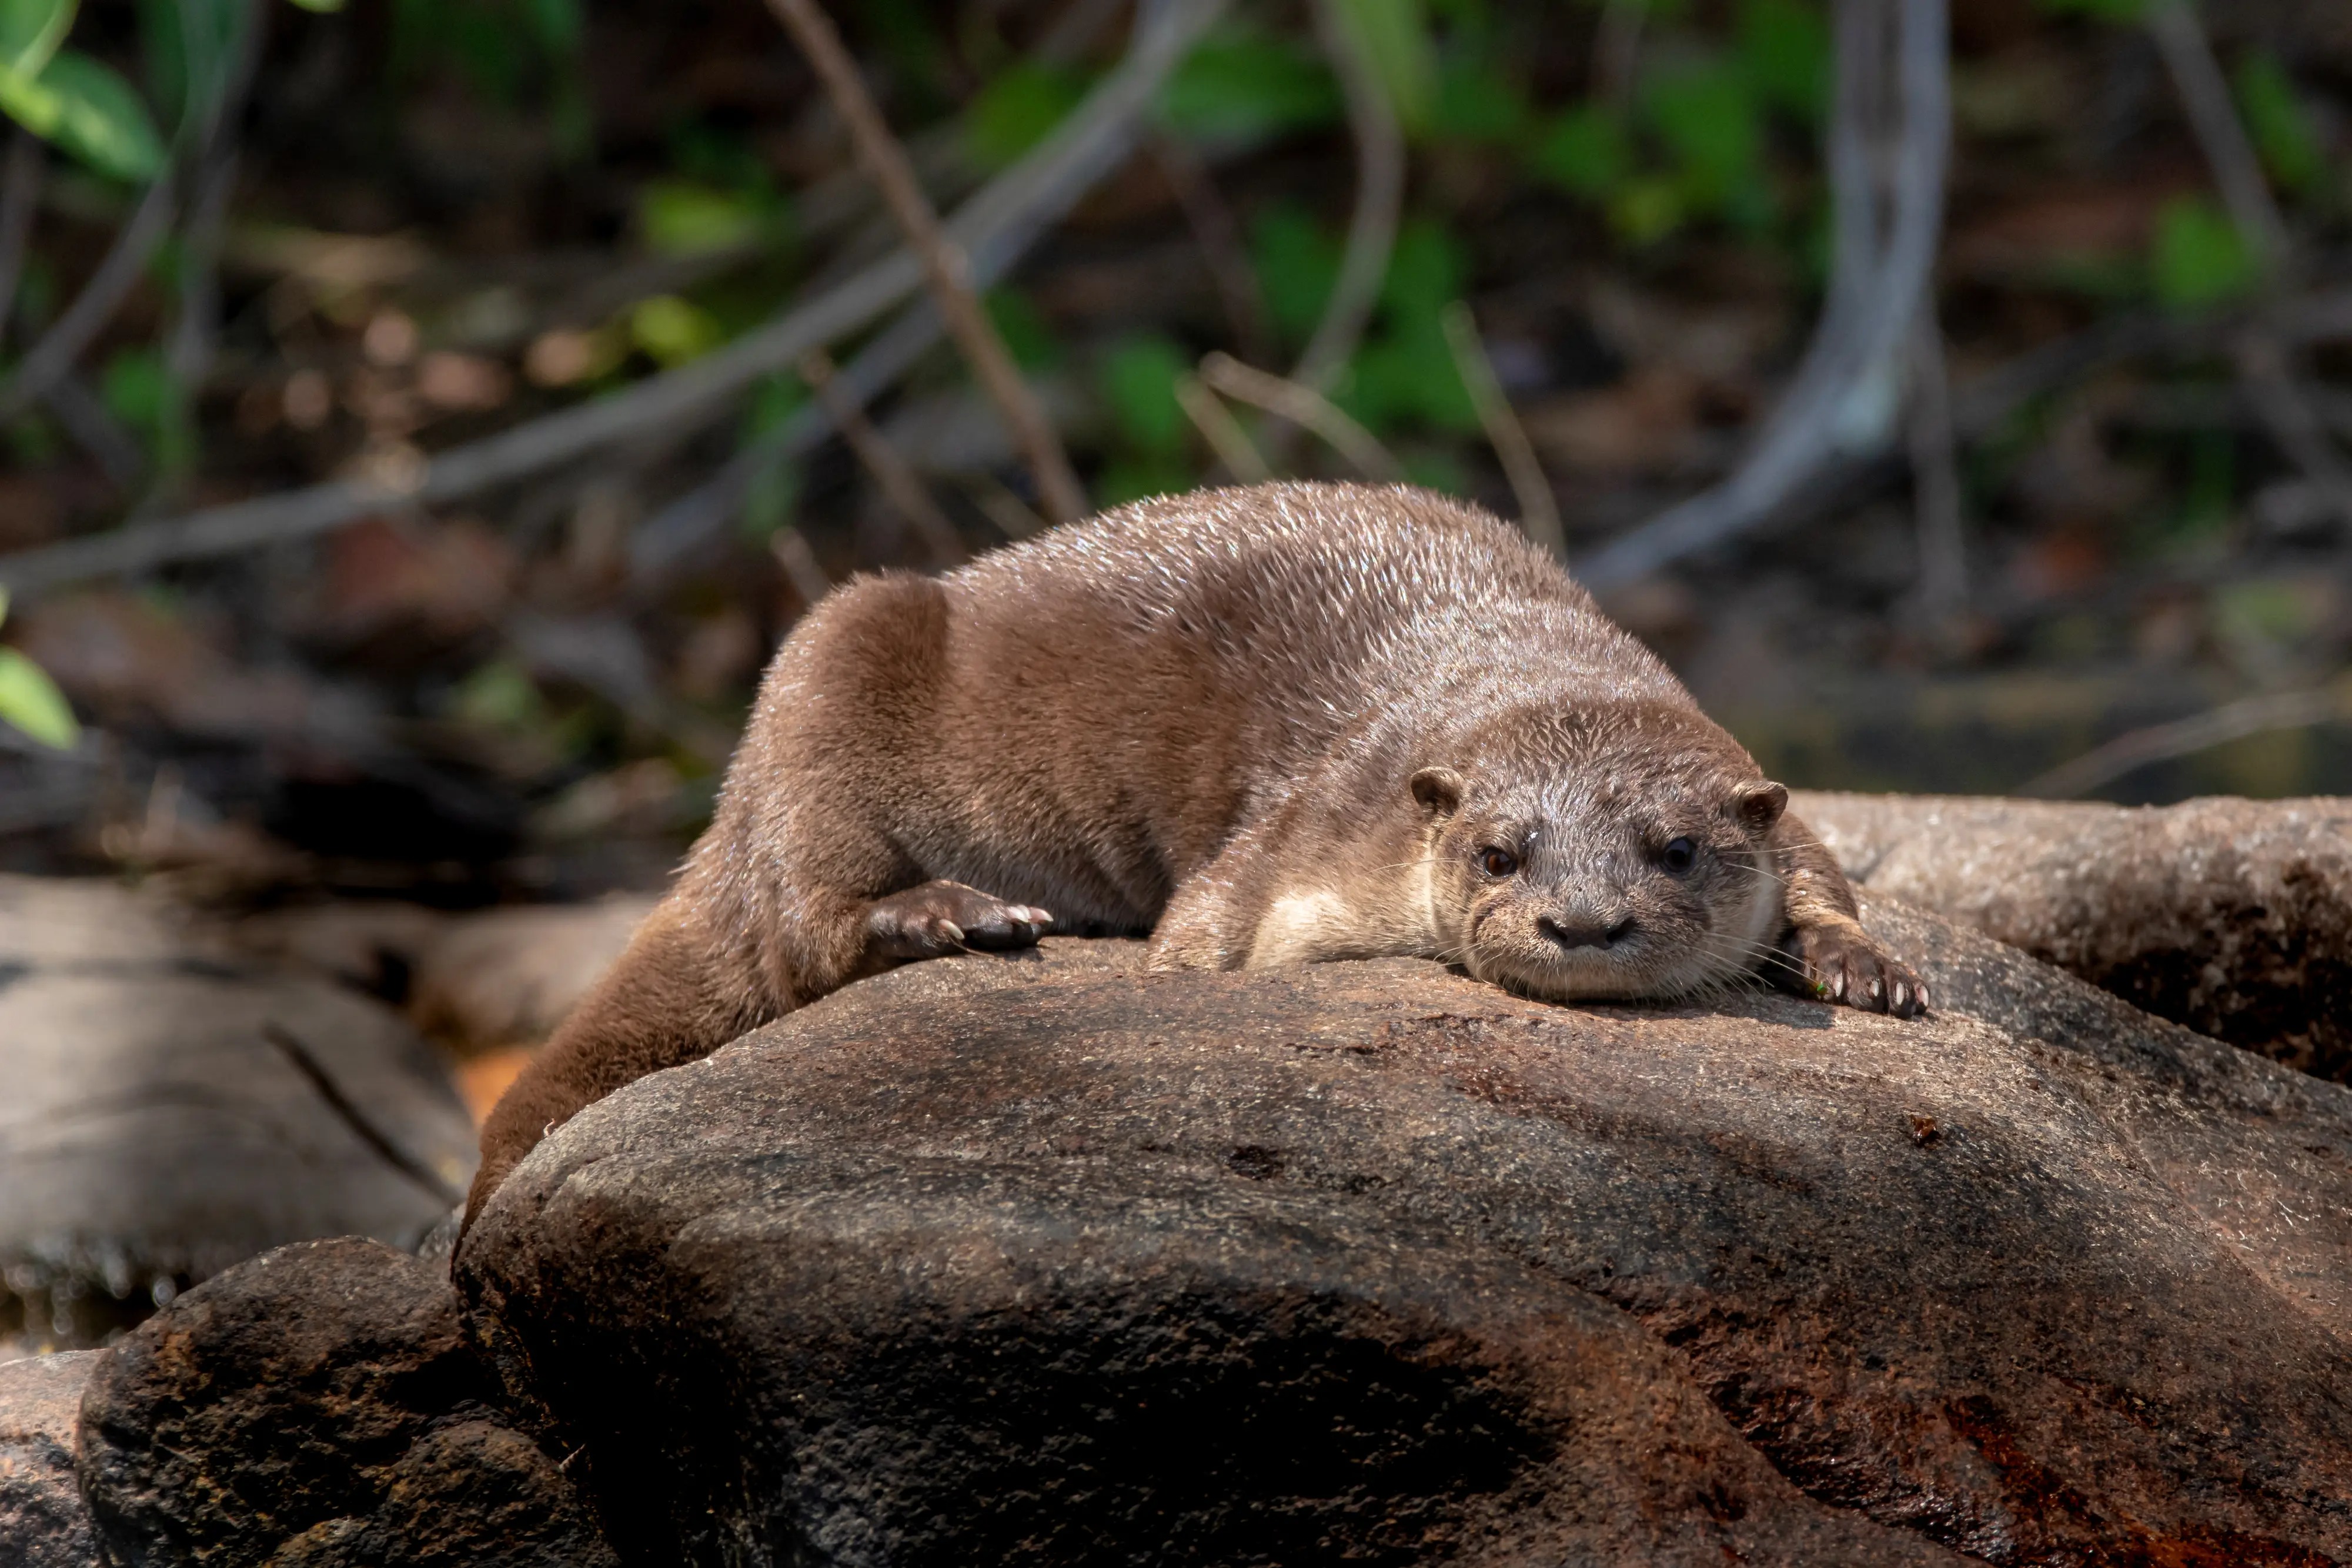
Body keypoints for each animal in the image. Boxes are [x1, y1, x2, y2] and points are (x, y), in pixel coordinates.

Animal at [466, 482, 1924, 1227]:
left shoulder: (1770, 802)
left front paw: (1866, 967)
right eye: (1499, 853)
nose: (1581, 923)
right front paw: (1170, 987)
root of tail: (729, 811)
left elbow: (1823, 870)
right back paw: (953, 914)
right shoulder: (1306, 825)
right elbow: (1204, 925)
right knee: (806, 915)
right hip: (830, 670)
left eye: (1672, 849)